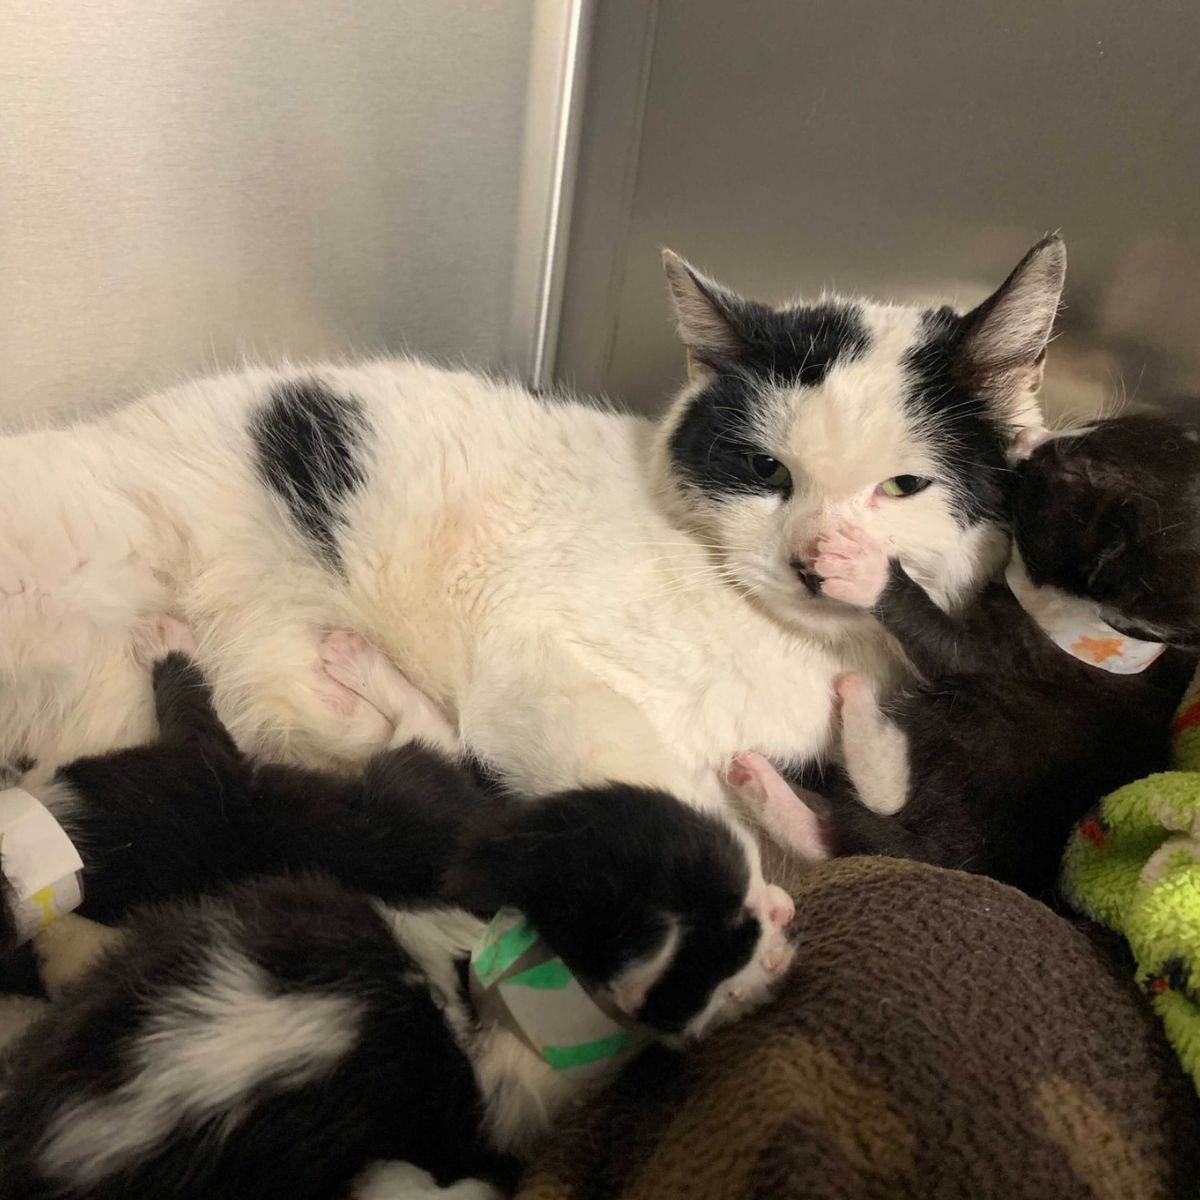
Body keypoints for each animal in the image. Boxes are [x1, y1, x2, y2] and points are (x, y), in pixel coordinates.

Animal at [0, 628, 796, 1200]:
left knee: (427, 732)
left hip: (397, 794)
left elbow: (194, 719)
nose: (783, 934)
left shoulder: (179, 782)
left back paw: (356, 665)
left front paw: (165, 643)